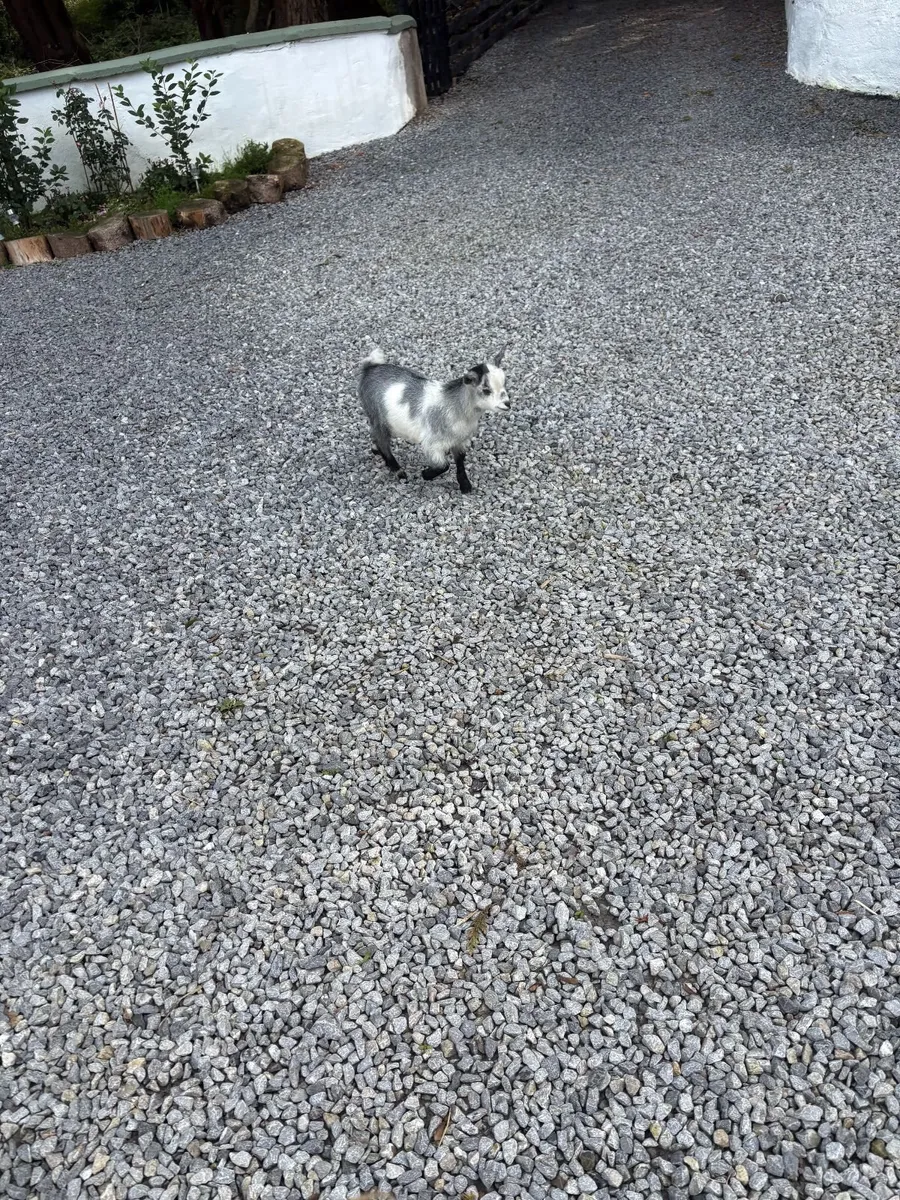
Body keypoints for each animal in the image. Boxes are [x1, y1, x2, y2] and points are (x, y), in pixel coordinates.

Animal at [358, 347, 510, 493]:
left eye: (504, 383)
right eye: (486, 390)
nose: (507, 404)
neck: (458, 408)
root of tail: (369, 367)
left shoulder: (460, 441)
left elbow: (460, 461)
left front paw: (465, 486)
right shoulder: (432, 444)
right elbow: (444, 465)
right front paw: (425, 474)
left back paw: (376, 450)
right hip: (378, 417)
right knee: (382, 441)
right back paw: (398, 471)